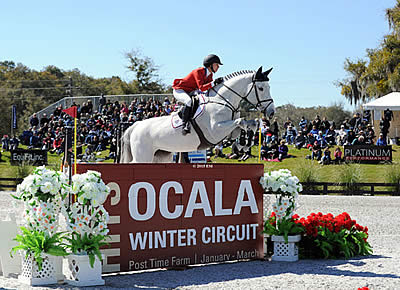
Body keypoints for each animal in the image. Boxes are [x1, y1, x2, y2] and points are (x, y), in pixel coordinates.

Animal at [119, 67, 276, 164]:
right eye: (261, 88)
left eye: (269, 87)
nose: (271, 112)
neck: (223, 100)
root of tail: (136, 125)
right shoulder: (215, 131)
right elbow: (241, 121)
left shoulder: (228, 130)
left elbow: (243, 125)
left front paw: (248, 138)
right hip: (143, 155)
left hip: (160, 155)